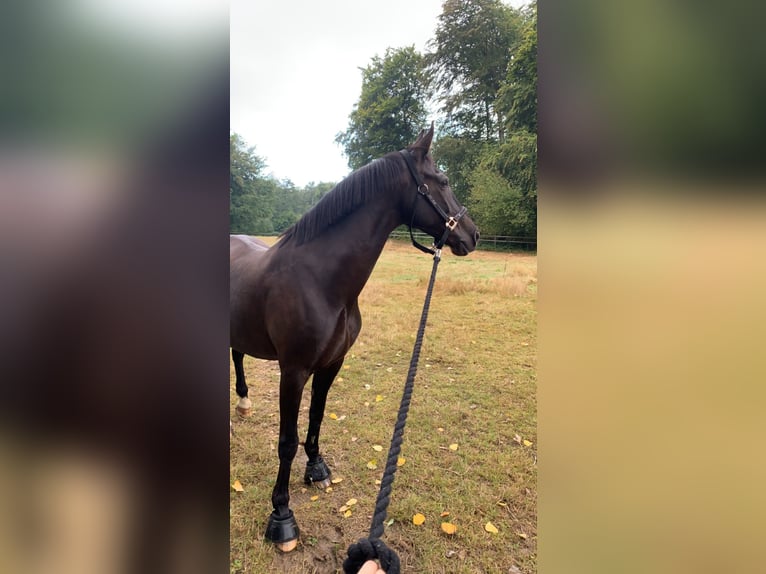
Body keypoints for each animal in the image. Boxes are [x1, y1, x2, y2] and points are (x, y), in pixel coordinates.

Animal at [230, 125, 479, 552]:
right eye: (443, 180)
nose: (473, 234)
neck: (320, 280)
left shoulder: (331, 364)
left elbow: (316, 416)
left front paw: (316, 469)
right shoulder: (293, 371)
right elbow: (286, 441)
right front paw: (281, 516)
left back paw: (244, 403)